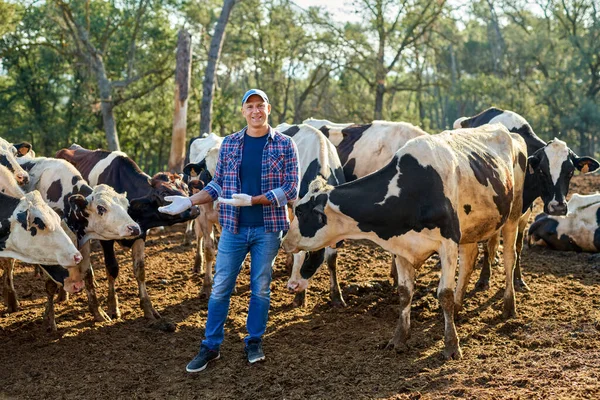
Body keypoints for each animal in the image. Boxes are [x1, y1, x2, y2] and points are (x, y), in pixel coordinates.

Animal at [55, 144, 199, 328]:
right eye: (163, 192)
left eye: (186, 188)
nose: (194, 208)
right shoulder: (106, 239)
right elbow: (112, 269)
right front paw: (113, 307)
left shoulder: (140, 234)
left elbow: (140, 270)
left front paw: (148, 309)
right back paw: (63, 294)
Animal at [454, 107, 600, 290]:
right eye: (542, 171)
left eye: (570, 172)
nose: (558, 207)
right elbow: (488, 245)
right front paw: (483, 279)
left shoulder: (525, 213)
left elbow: (517, 247)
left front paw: (518, 279)